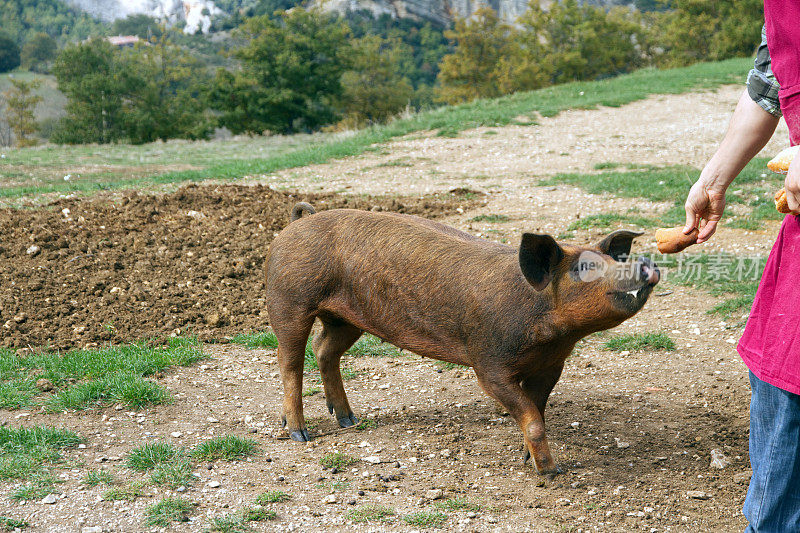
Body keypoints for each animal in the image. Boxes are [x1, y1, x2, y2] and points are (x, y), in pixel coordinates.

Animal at [266, 203, 660, 474]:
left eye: (612, 259)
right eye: (584, 268)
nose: (646, 262)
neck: (552, 335)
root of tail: (298, 220)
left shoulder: (552, 365)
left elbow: (538, 411)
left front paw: (526, 457)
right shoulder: (489, 364)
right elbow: (530, 417)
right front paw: (552, 472)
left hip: (346, 318)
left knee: (324, 350)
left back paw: (349, 421)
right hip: (289, 300)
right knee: (289, 362)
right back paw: (299, 434)